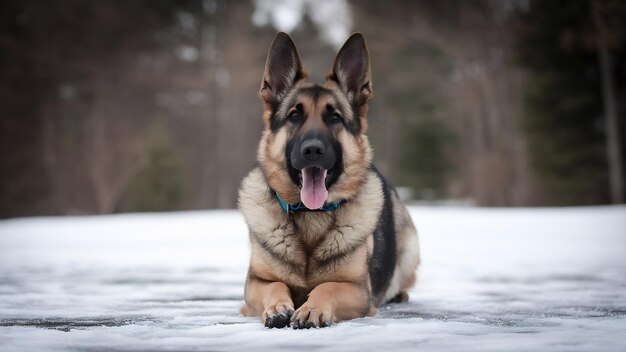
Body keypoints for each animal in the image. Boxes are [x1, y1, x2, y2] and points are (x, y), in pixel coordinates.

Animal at [239, 31, 420, 328]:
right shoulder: (256, 283)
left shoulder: (357, 290)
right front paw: (277, 307)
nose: (313, 150)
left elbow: (327, 287)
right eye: (294, 115)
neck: (311, 216)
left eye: (334, 117)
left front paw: (312, 308)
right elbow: (275, 285)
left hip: (410, 252)